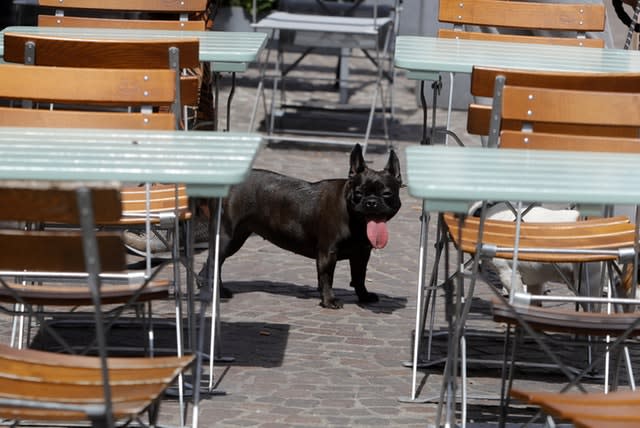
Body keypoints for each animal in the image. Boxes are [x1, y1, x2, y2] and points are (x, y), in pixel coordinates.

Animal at [199, 144, 400, 308]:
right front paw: (329, 301)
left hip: (237, 237)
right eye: (358, 193)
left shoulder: (362, 254)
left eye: (387, 194)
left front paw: (364, 296)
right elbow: (327, 277)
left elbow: (359, 277)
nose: (371, 202)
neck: (355, 221)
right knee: (214, 262)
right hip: (227, 237)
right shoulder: (328, 253)